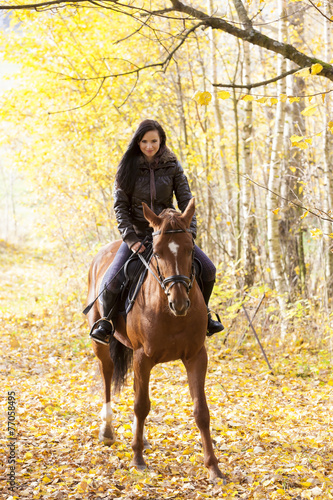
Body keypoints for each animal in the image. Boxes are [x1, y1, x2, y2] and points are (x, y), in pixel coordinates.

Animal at [86, 198, 223, 480]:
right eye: (157, 253)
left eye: (190, 249)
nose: (179, 303)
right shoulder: (142, 357)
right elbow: (141, 406)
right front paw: (138, 459)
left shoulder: (196, 356)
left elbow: (201, 411)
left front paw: (213, 467)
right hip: (101, 345)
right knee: (107, 377)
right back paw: (107, 431)